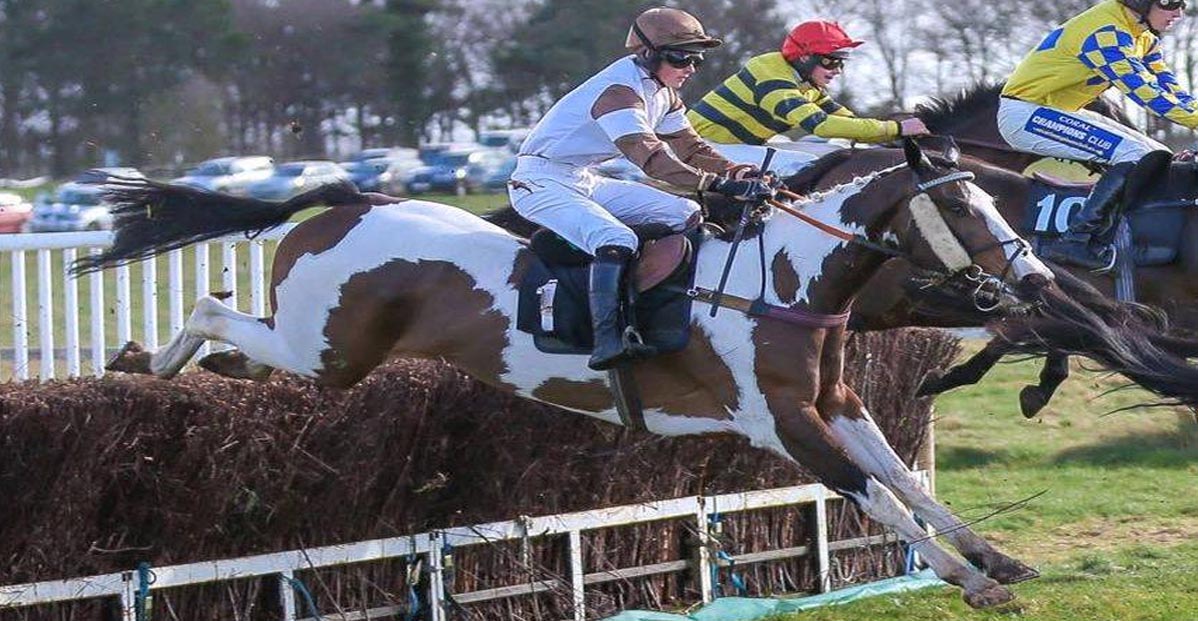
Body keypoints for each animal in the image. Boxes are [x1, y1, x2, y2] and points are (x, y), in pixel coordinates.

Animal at [77, 141, 1059, 609]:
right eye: (961, 207)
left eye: (990, 200)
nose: (1039, 281)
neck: (784, 277)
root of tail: (351, 199)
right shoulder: (782, 422)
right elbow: (875, 493)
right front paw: (967, 579)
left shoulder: (835, 401)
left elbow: (903, 478)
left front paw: (994, 556)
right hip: (324, 345)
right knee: (209, 307)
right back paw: (143, 359)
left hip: (327, 357)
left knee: (239, 352)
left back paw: (156, 364)